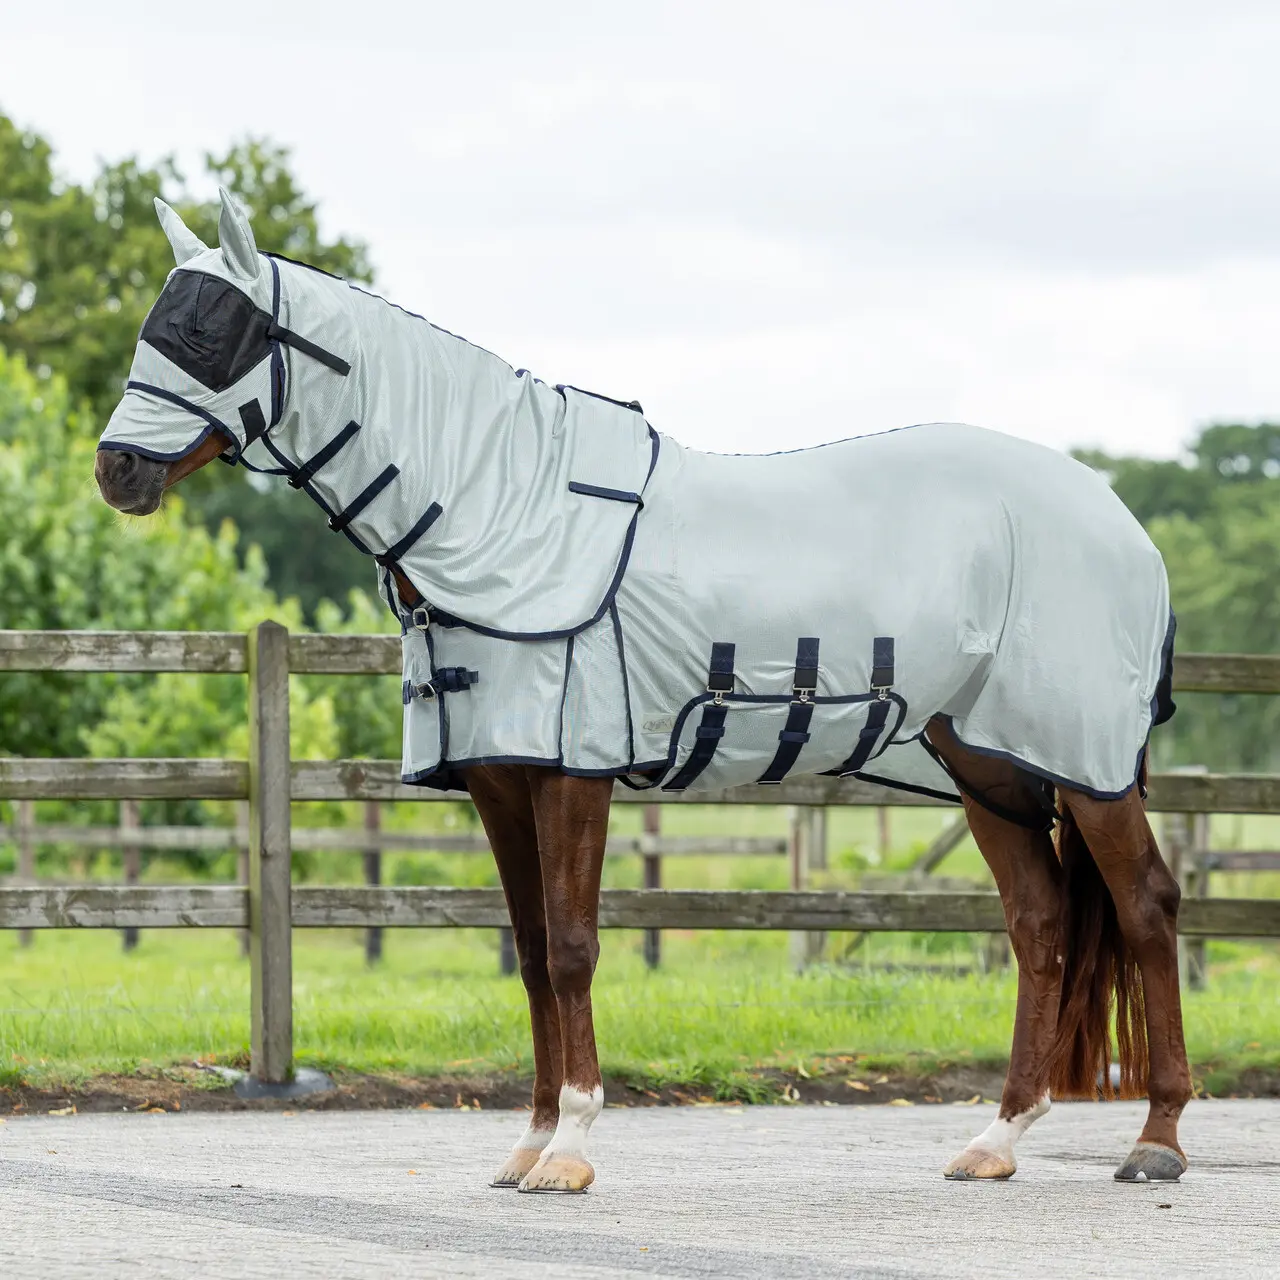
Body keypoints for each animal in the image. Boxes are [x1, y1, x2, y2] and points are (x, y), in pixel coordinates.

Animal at [94, 188, 1192, 1192]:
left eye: (211, 335)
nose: (117, 471)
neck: (504, 509)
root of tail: (1122, 523)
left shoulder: (574, 769)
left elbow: (574, 948)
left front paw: (572, 1147)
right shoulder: (501, 777)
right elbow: (532, 950)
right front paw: (529, 1141)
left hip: (1085, 766)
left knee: (1145, 905)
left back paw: (1156, 1139)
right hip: (989, 769)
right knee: (1040, 926)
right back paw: (997, 1138)